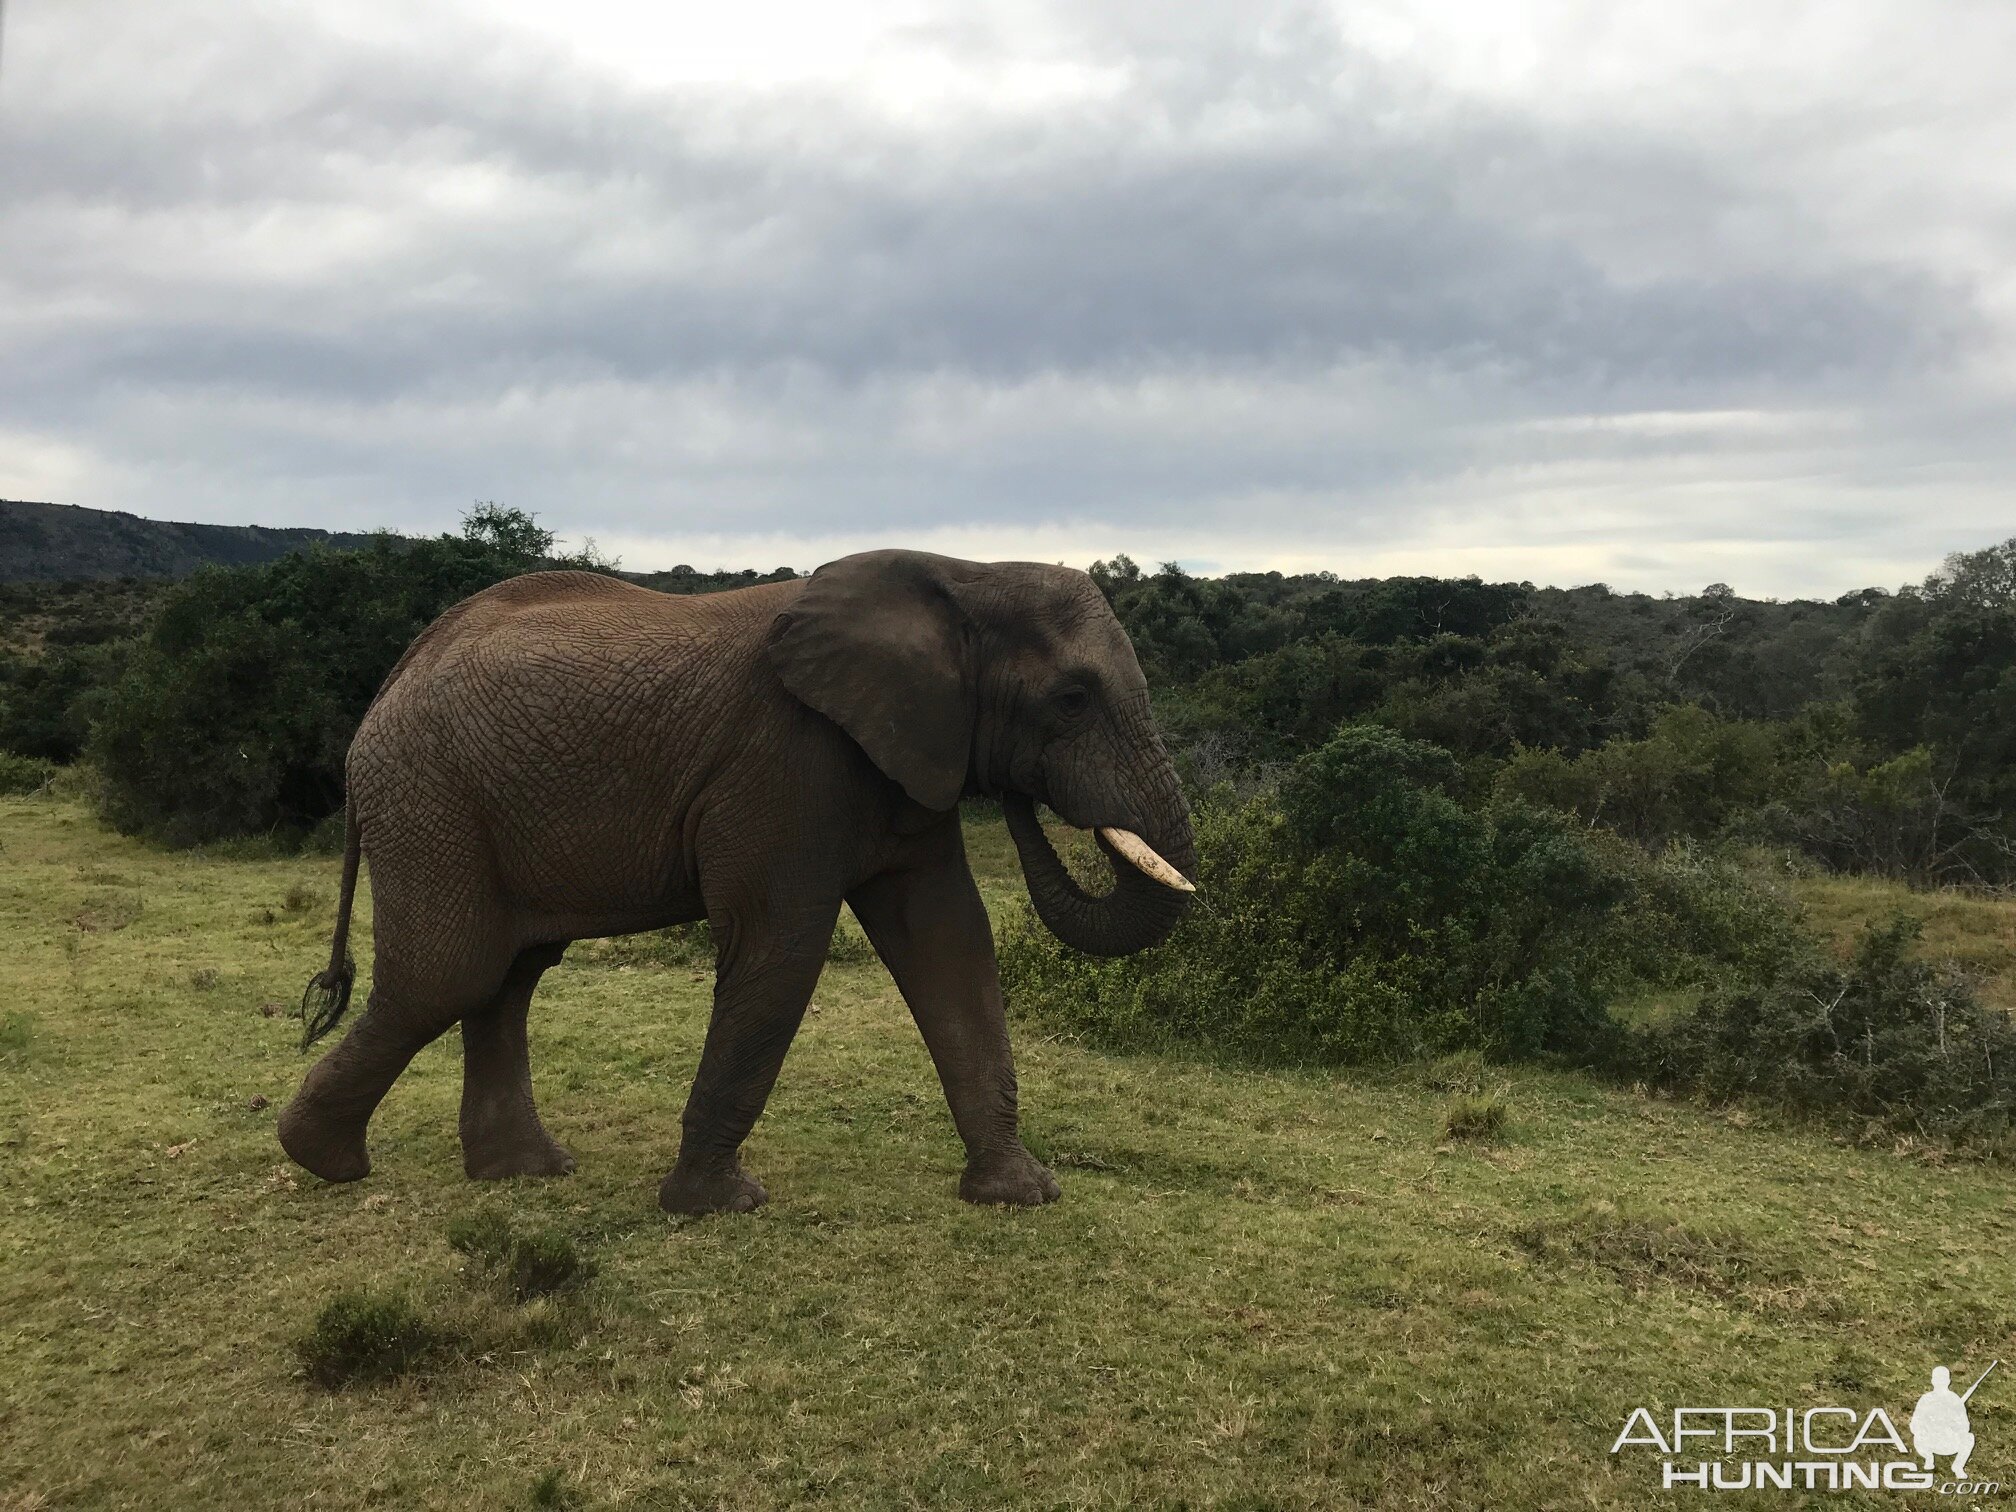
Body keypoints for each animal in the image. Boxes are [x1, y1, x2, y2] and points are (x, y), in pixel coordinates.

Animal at [282, 552, 1193, 1217]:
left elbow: (949, 942)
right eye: (1071, 699)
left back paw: (524, 1173)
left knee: (508, 976)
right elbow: (781, 949)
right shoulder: (784, 766)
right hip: (429, 798)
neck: (965, 574)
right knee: (451, 976)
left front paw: (1020, 1195)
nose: (1023, 797)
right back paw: (323, 1161)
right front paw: (718, 1207)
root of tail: (391, 684)